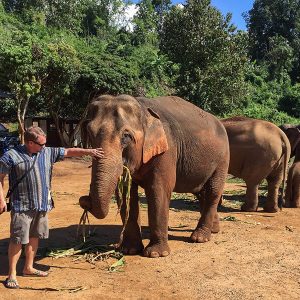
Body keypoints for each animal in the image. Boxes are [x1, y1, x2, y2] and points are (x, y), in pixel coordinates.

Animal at [78, 94, 229, 258]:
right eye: (89, 133)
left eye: (126, 136)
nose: (84, 200)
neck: (143, 109)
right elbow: (126, 194)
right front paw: (129, 250)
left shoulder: (167, 150)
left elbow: (158, 190)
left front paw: (156, 254)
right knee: (201, 192)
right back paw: (213, 230)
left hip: (222, 159)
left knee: (213, 191)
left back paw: (199, 238)